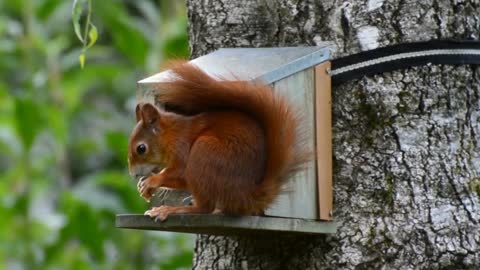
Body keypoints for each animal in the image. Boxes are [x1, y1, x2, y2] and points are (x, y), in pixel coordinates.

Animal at [127, 62, 306, 220]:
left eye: (141, 148)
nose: (133, 175)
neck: (171, 135)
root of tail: (246, 196)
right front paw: (144, 185)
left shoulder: (182, 146)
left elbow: (180, 172)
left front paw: (151, 181)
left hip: (204, 151)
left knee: (204, 208)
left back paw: (172, 210)